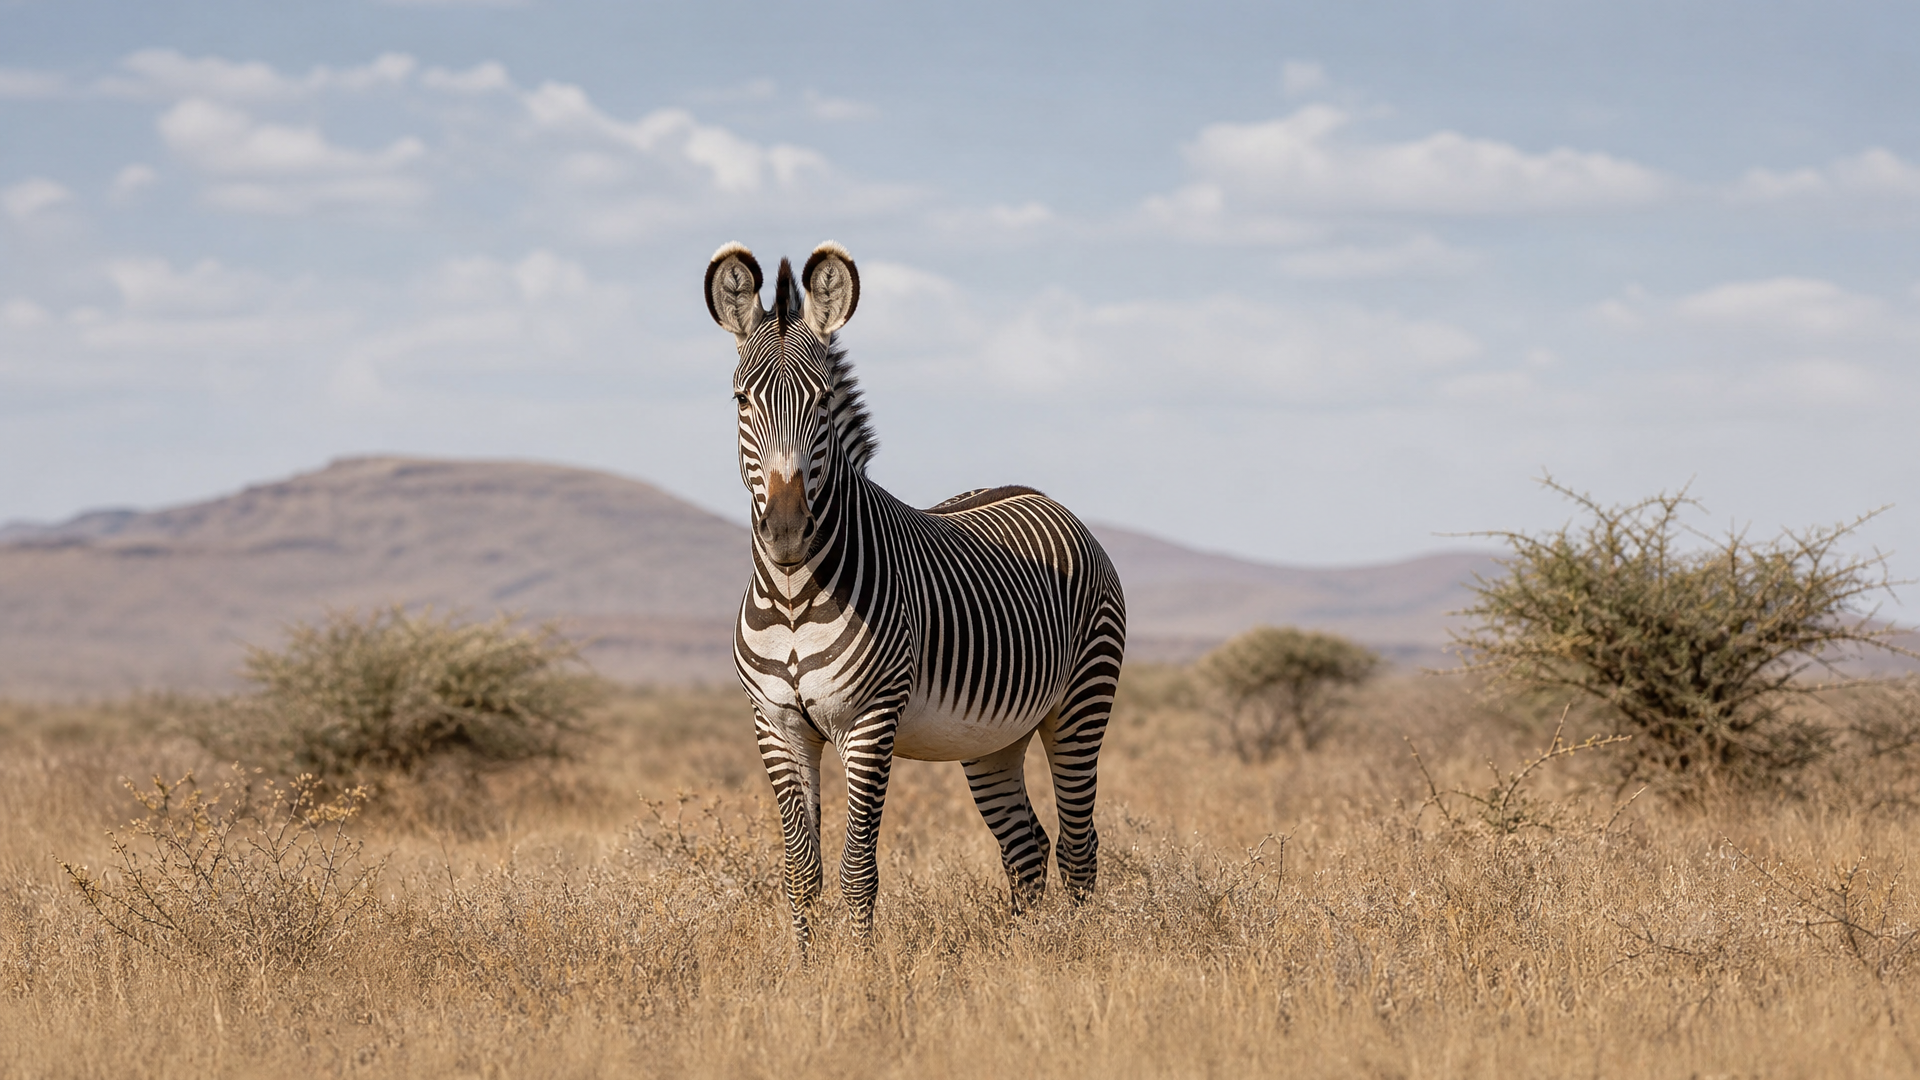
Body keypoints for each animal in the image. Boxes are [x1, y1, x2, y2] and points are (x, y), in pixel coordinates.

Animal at [705, 241, 1127, 947]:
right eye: (741, 400)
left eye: (822, 401)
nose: (786, 531)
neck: (792, 596)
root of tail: (1039, 494)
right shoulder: (777, 724)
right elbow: (801, 870)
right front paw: (802, 969)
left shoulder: (870, 720)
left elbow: (857, 868)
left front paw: (858, 969)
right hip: (990, 738)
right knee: (1028, 846)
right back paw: (1023, 951)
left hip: (1080, 704)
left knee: (1077, 844)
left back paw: (1075, 947)